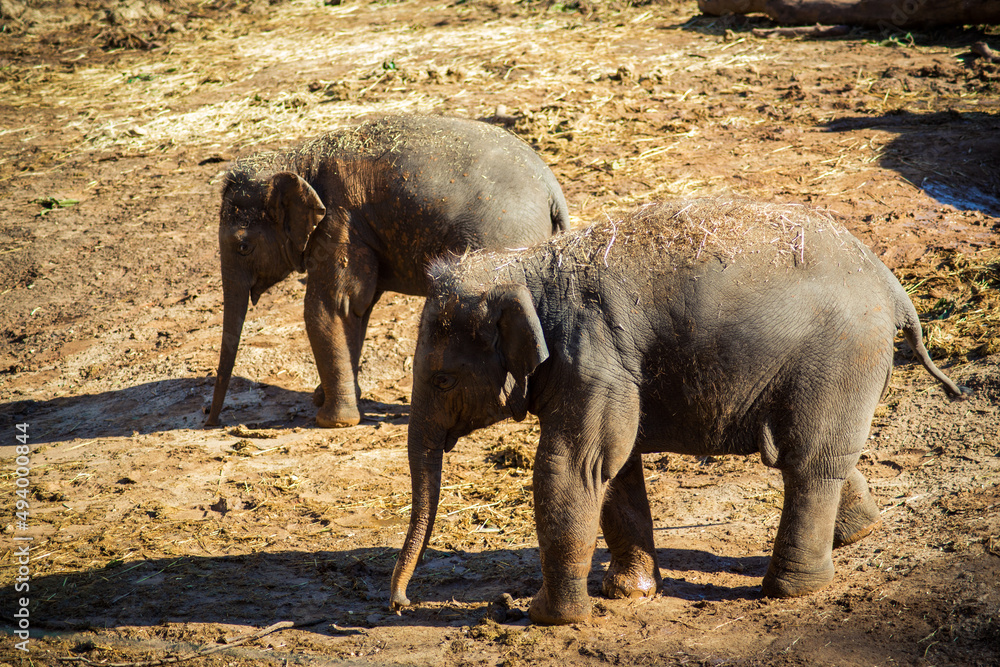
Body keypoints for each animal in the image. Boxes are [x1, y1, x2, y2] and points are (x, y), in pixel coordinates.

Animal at [205, 114, 569, 428]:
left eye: (243, 246)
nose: (210, 421)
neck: (297, 158)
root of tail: (553, 191)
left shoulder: (340, 221)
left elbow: (331, 306)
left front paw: (333, 421)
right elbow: (356, 309)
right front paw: (326, 399)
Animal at [389, 197, 970, 625]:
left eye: (442, 380)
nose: (399, 605)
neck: (525, 264)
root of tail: (894, 287)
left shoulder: (594, 356)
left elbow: (574, 465)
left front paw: (550, 617)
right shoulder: (610, 373)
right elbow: (615, 469)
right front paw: (630, 593)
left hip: (839, 356)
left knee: (807, 461)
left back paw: (788, 590)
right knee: (821, 454)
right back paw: (857, 534)